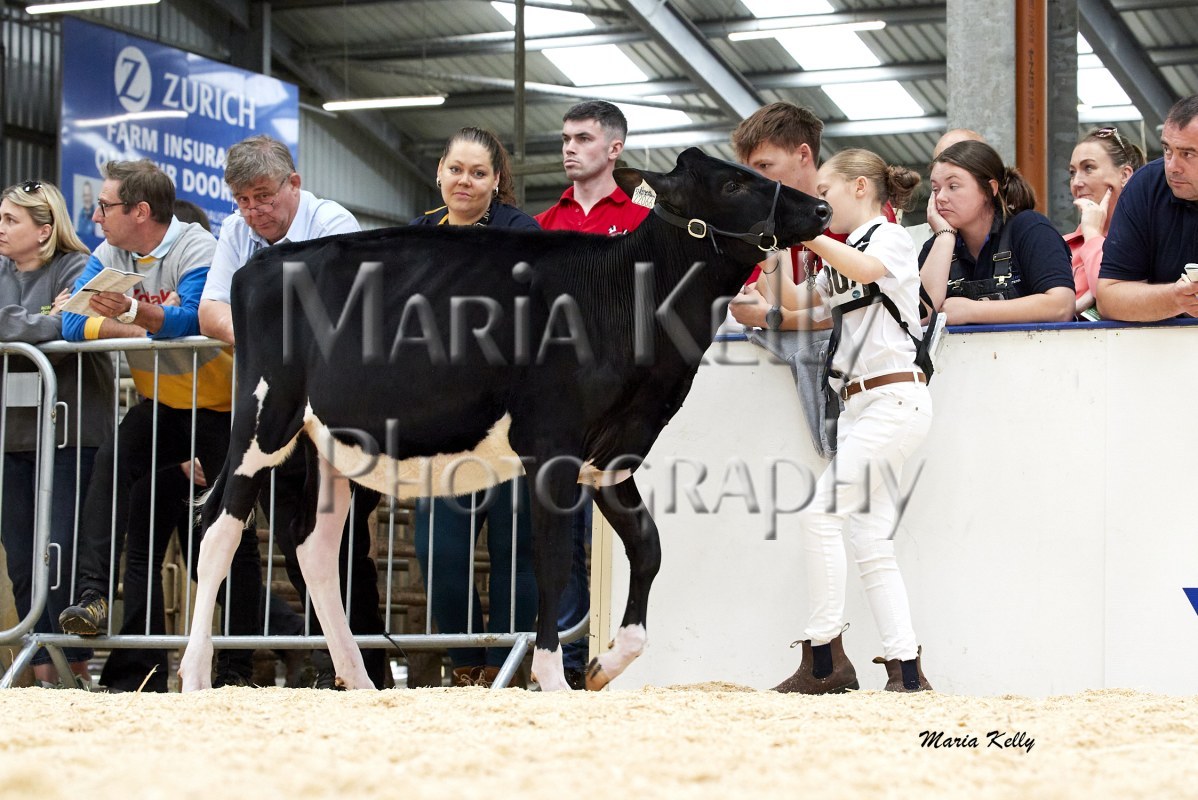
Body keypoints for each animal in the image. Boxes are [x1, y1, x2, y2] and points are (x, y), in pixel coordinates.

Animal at [178, 148, 830, 692]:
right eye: (733, 183)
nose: (822, 206)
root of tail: (261, 262)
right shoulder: (553, 449)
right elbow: (551, 566)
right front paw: (554, 680)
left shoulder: (613, 454)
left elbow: (647, 548)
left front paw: (603, 665)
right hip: (263, 421)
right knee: (219, 531)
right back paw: (195, 677)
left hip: (330, 446)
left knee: (312, 549)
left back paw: (359, 681)